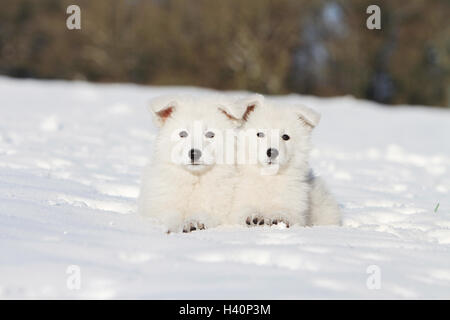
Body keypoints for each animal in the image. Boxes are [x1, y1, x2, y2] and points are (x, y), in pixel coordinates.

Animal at [139, 94, 241, 231]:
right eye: (183, 134)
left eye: (210, 134)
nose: (194, 153)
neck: (195, 179)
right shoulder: (159, 206)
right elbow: (170, 216)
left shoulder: (219, 210)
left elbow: (206, 215)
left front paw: (194, 223)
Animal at [229, 94, 342, 228]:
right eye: (260, 134)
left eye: (285, 137)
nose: (272, 152)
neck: (269, 178)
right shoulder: (238, 199)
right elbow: (242, 211)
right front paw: (253, 216)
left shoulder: (297, 205)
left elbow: (290, 213)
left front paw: (280, 218)